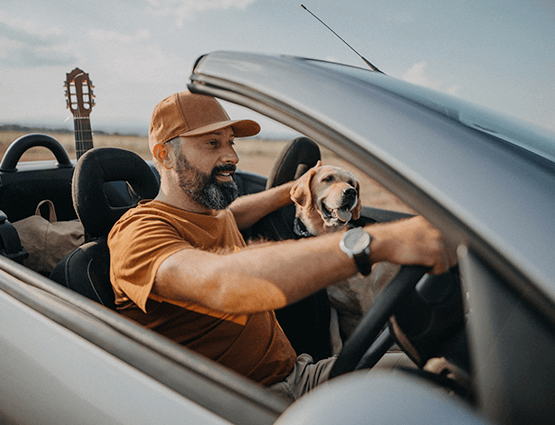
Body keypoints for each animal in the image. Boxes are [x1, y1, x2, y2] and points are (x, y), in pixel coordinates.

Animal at [292, 161, 400, 352]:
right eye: (327, 179)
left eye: (351, 183)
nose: (351, 192)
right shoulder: (331, 304)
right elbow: (335, 337)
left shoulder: (366, 299)